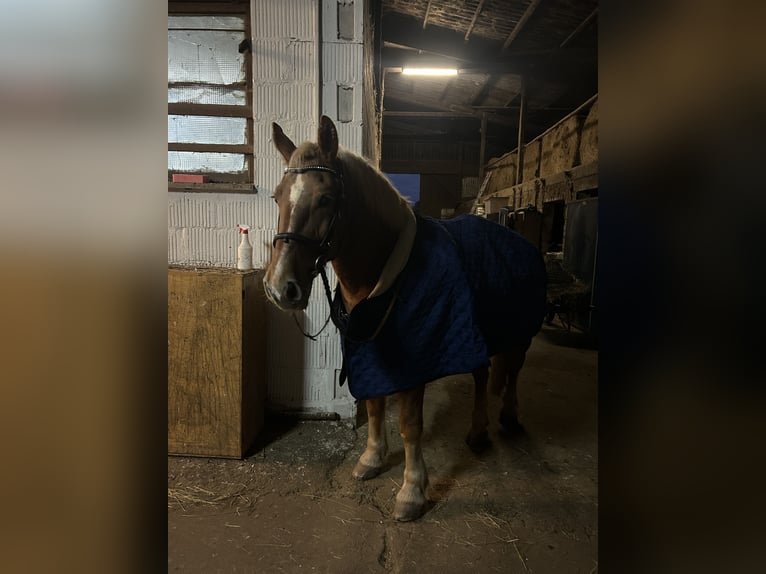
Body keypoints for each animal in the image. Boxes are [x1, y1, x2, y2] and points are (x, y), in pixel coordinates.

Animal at [263, 116, 547, 522]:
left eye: (326, 198)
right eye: (277, 196)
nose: (279, 287)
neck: (388, 273)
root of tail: (518, 237)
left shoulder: (418, 360)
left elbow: (410, 425)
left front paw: (412, 491)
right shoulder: (369, 352)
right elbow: (374, 405)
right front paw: (371, 459)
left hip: (519, 332)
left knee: (513, 370)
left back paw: (508, 416)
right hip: (475, 334)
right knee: (483, 376)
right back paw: (477, 432)